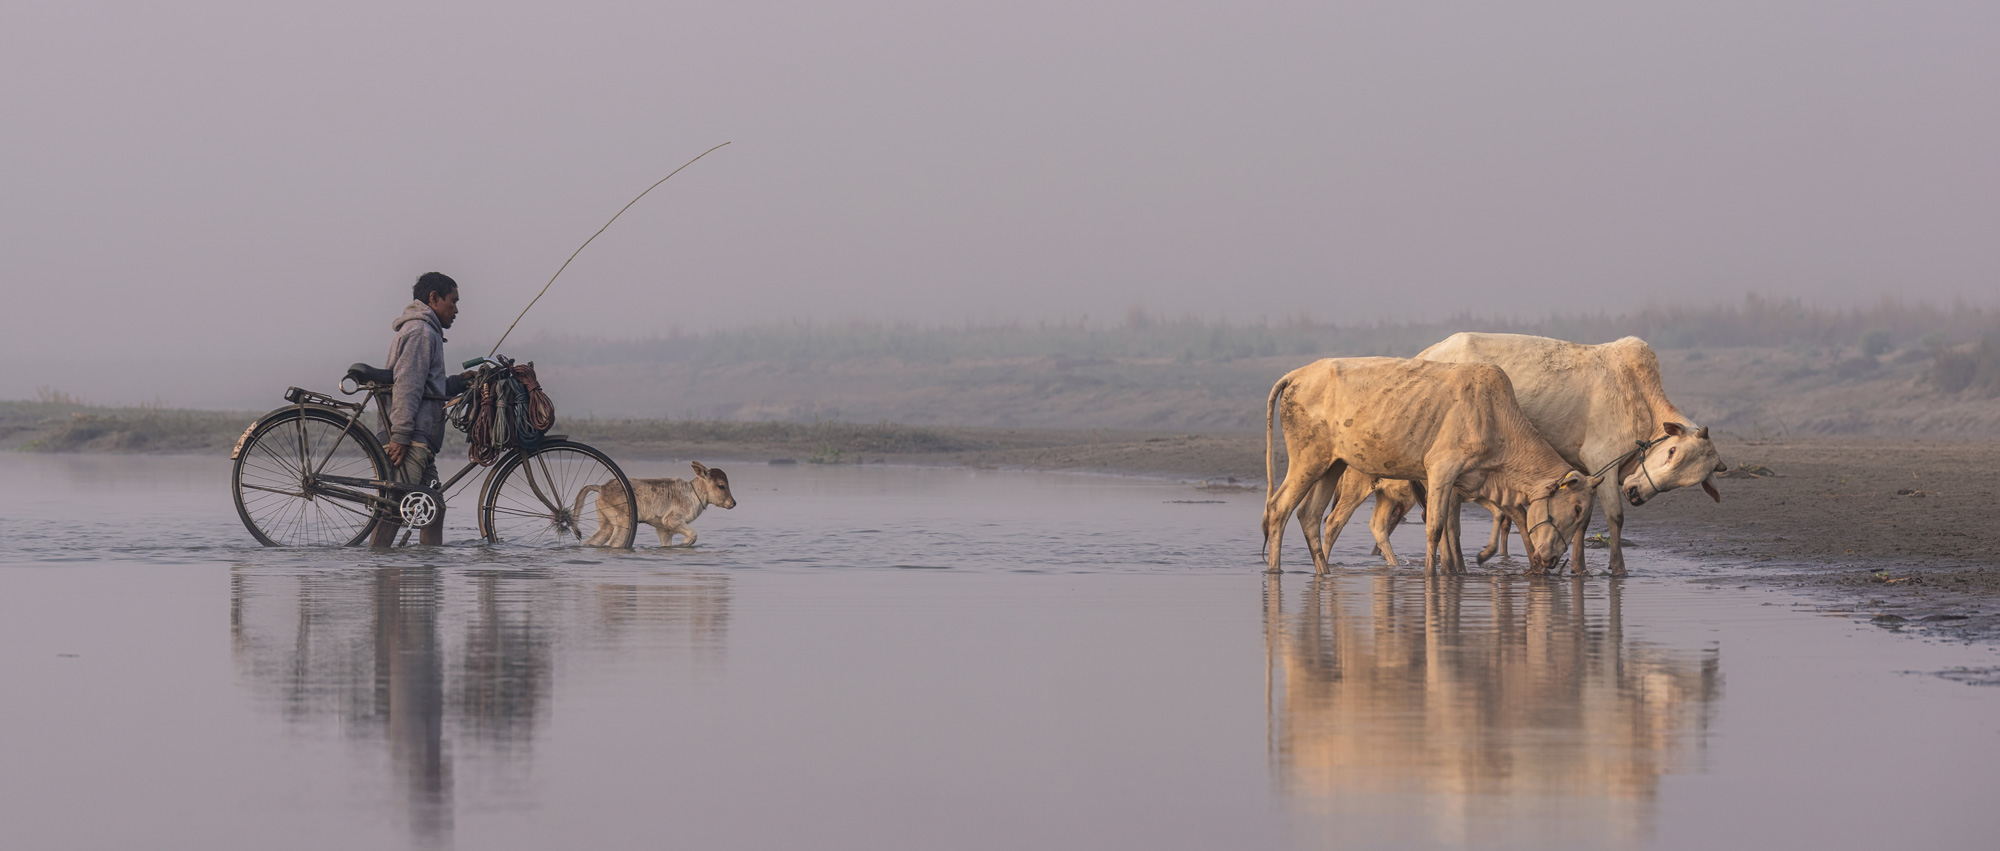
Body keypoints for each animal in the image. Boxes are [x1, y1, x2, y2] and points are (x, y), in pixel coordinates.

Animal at [1264, 355, 1608, 575]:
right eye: (1577, 508)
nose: (1551, 560)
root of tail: (1296, 375)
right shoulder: (1442, 469)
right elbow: (1436, 527)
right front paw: (1433, 577)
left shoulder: (1465, 482)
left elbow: (1454, 530)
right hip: (1308, 460)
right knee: (1280, 509)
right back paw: (1275, 571)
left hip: (1332, 464)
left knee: (1309, 516)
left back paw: (1324, 573)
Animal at [1320, 335, 1728, 575]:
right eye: (1671, 450)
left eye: (1685, 481)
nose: (1635, 492)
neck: (1640, 396)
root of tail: (1424, 354)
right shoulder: (1602, 459)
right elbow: (1615, 518)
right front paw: (1617, 570)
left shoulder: (1579, 471)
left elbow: (1580, 519)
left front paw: (1577, 567)